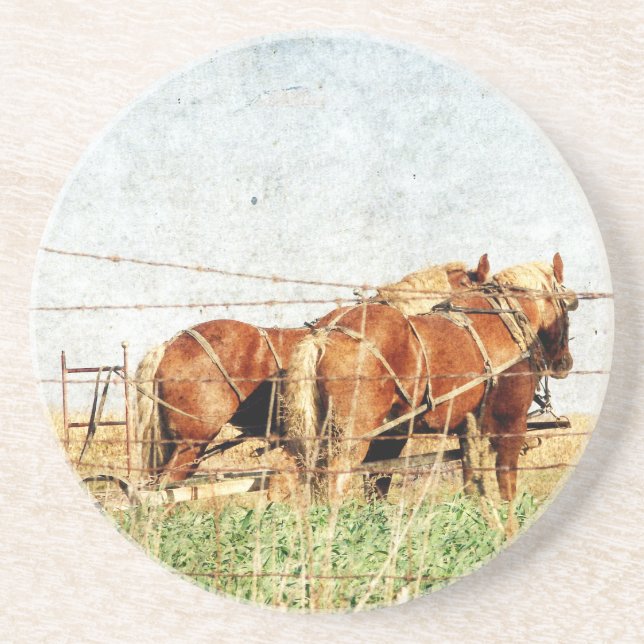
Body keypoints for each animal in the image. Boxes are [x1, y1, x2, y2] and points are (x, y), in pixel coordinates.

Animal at [271, 254, 577, 504]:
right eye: (567, 307)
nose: (565, 362)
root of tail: (324, 335)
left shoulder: (466, 429)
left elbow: (470, 480)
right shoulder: (511, 424)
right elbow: (506, 483)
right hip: (353, 434)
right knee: (334, 480)